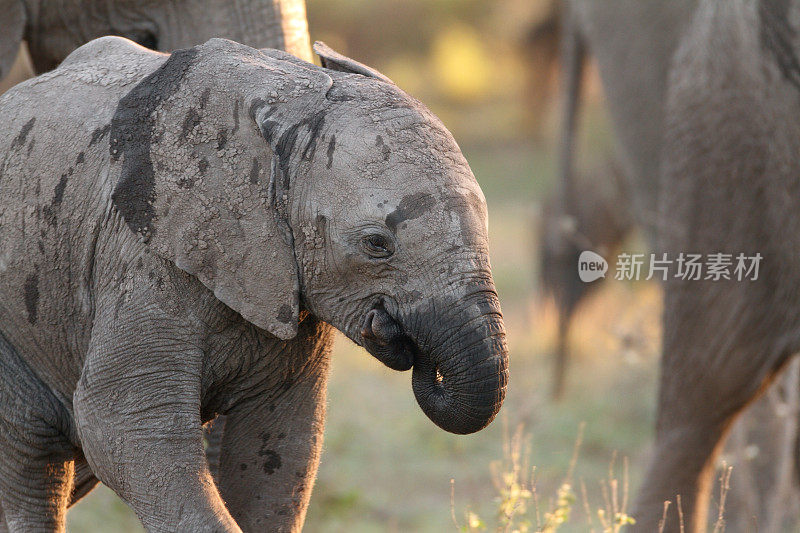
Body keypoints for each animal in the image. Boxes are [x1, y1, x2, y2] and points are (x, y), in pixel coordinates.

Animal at [0, 35, 510, 528]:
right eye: (376, 244)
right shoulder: (140, 256)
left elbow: (280, 446)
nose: (393, 330)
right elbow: (125, 426)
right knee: (32, 464)